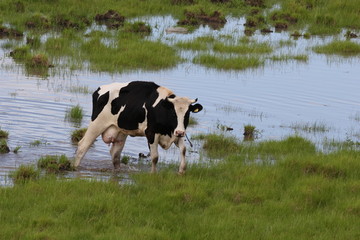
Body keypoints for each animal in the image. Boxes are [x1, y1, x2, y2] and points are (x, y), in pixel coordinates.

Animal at [74, 81, 202, 173]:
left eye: (187, 114)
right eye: (173, 113)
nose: (180, 132)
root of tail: (100, 89)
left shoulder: (176, 134)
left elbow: (183, 150)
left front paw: (181, 172)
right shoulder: (151, 134)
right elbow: (155, 157)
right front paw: (153, 174)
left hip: (120, 131)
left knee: (115, 154)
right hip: (97, 123)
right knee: (83, 146)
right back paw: (75, 167)